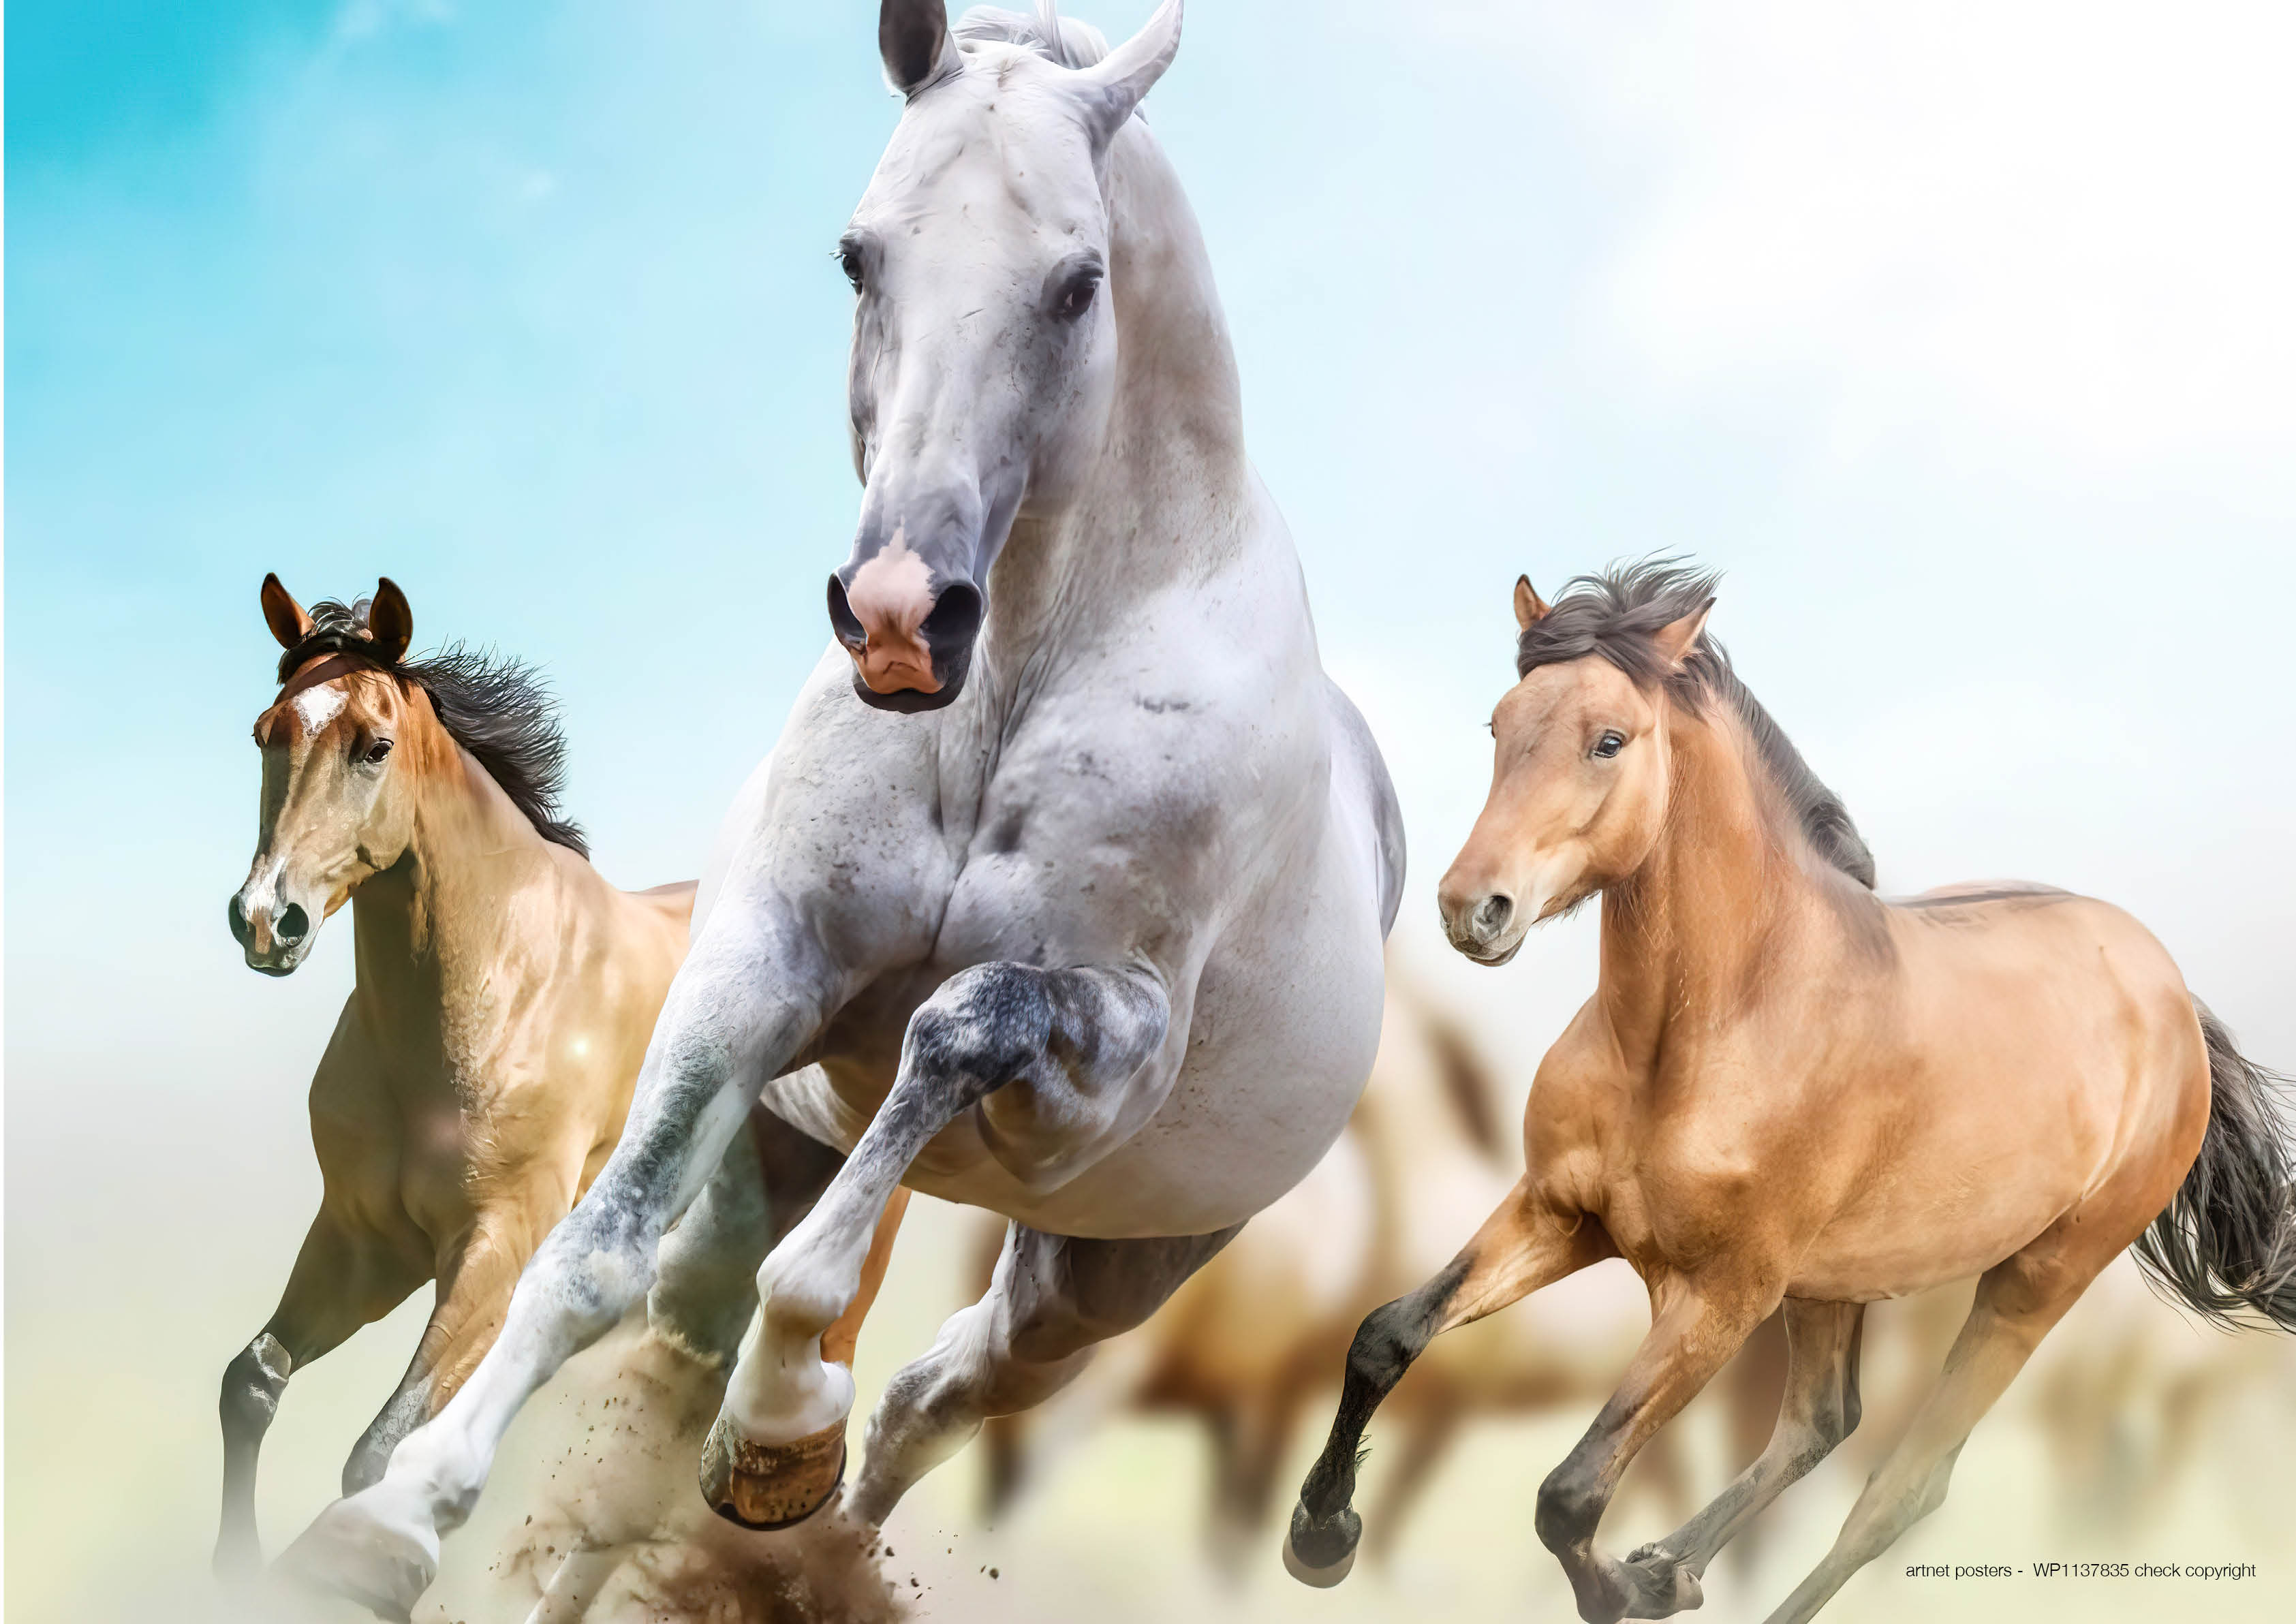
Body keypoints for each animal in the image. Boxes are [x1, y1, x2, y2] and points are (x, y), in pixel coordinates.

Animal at [214, 576, 695, 1574]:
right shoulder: (364, 1240)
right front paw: (232, 1572)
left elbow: (380, 1453)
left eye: (375, 746)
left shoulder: (494, 1249)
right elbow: (253, 1380)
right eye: (266, 732)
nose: (266, 920)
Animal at [281, 4, 1402, 1615]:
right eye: (859, 256)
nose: (897, 620)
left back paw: (792, 1484)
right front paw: (391, 1520)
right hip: (778, 1156)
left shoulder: (1095, 1065)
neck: (1005, 691)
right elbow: (592, 1256)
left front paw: (780, 1416)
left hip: (1097, 1277)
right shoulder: (760, 967)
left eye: (1079, 283)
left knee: (937, 1396)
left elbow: (954, 1029)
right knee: (685, 1367)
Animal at [1287, 559, 2296, 1623]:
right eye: (1500, 725)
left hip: (2032, 1283)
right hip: (1833, 1282)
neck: (1701, 1036)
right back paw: (1670, 1564)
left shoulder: (1719, 1297)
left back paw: (1677, 1572)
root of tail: (2170, 995)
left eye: (1609, 739)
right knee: (1820, 1423)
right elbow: (1385, 1335)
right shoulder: (1559, 1215)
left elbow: (1569, 1493)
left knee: (1899, 1489)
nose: (1470, 908)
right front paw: (1320, 1537)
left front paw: (1618, 1589)